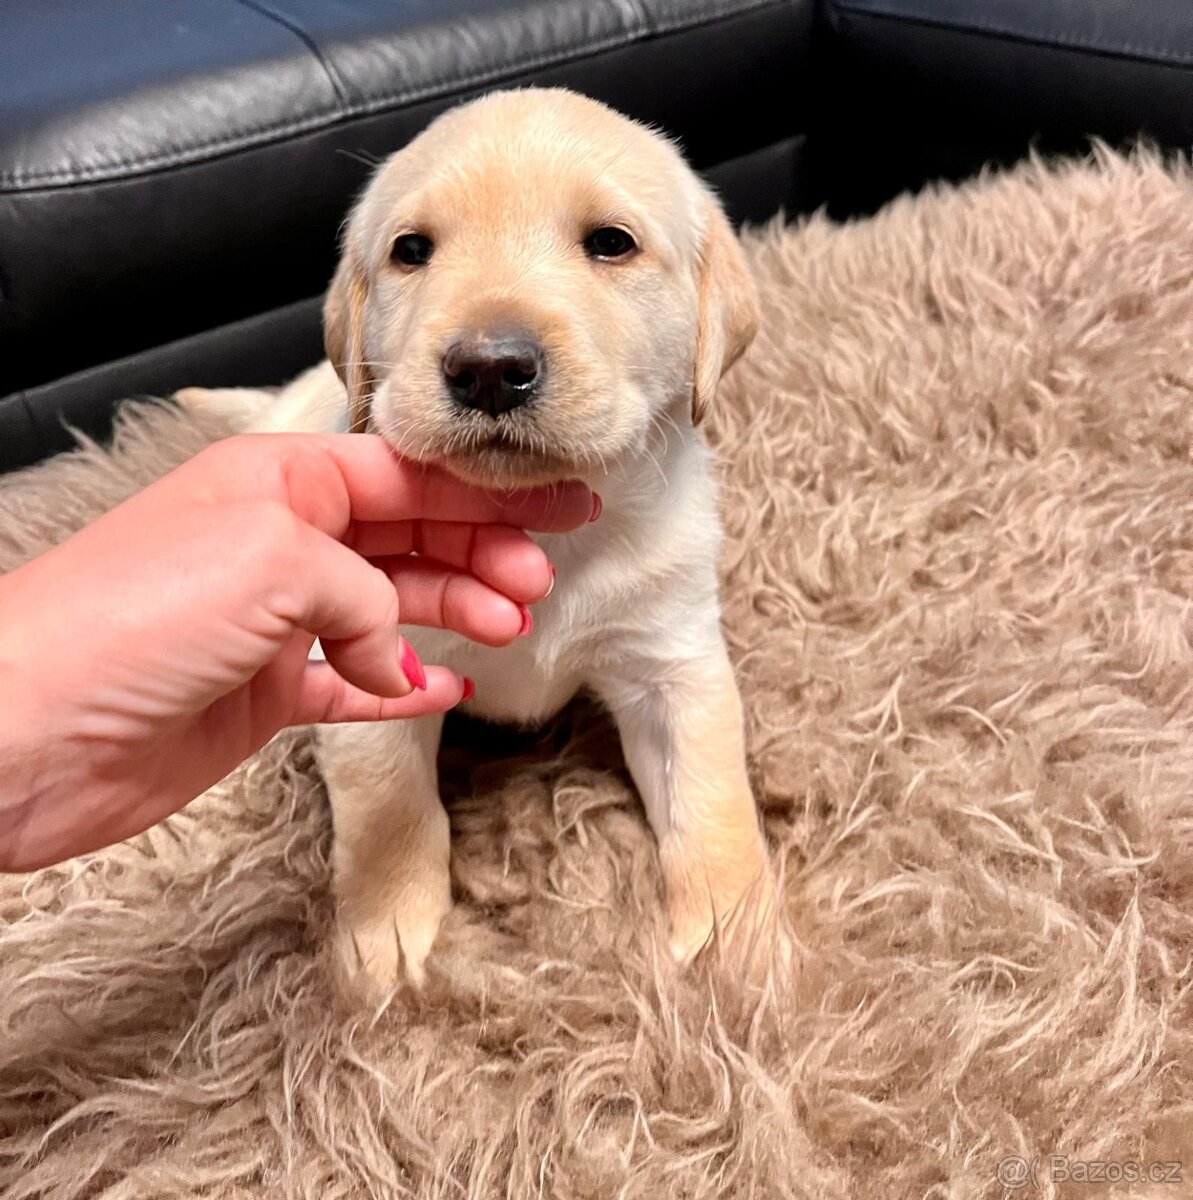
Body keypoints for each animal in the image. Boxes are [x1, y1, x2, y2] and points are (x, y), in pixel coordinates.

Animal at [177, 82, 772, 984]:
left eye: (611, 243)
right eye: (411, 250)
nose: (489, 368)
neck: (532, 521)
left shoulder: (674, 659)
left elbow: (710, 795)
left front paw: (735, 944)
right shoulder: (376, 663)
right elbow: (389, 803)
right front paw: (386, 937)